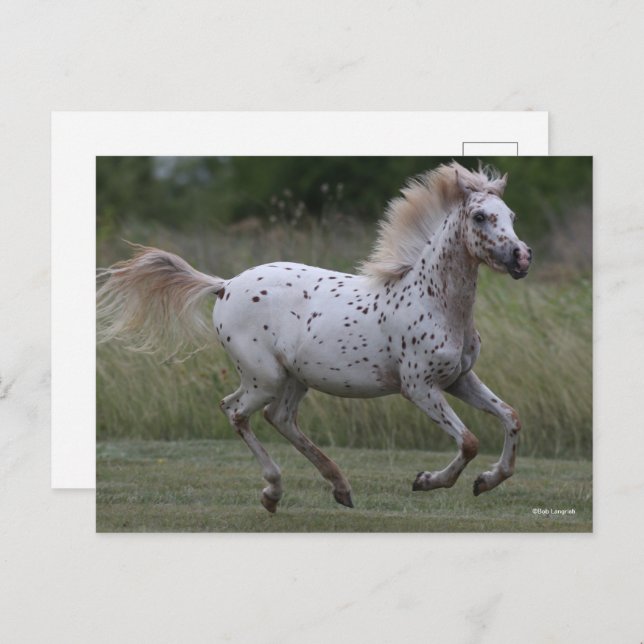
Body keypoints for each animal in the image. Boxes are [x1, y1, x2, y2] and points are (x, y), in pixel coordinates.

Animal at [97, 161, 532, 513]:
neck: (433, 301)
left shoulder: (459, 379)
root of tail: (224, 286)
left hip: (294, 379)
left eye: (511, 214)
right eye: (480, 216)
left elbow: (511, 417)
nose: (521, 257)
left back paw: (338, 488)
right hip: (265, 377)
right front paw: (427, 481)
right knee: (235, 411)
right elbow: (469, 441)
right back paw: (273, 492)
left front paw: (486, 481)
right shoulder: (419, 387)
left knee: (279, 418)